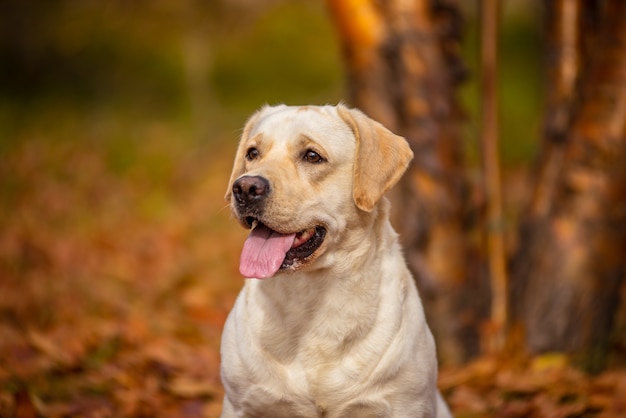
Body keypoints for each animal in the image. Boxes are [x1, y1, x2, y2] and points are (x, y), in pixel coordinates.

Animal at [219, 103, 448, 416]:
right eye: (252, 153)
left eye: (312, 156)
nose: (244, 188)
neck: (309, 296)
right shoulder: (240, 404)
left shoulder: (404, 404)